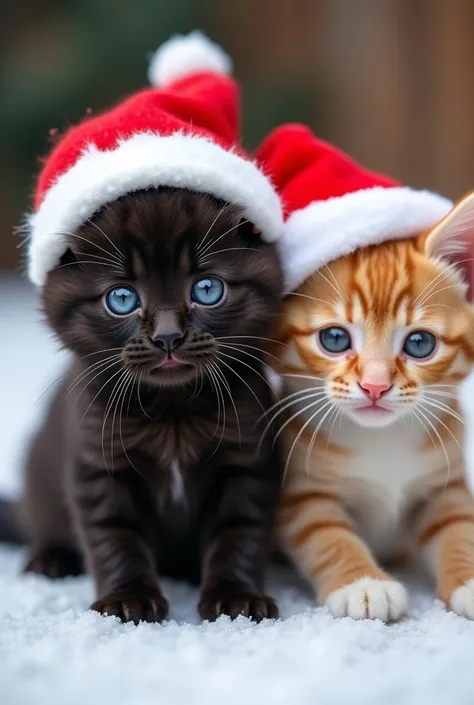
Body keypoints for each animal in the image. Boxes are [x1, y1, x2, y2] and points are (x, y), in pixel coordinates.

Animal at [7, 186, 284, 620]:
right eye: (122, 298)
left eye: (207, 290)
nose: (168, 337)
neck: (173, 411)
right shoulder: (100, 461)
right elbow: (114, 534)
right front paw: (127, 599)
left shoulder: (247, 458)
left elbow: (240, 530)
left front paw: (237, 598)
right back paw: (51, 559)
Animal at [270, 192, 474, 620]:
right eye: (334, 339)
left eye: (419, 344)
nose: (376, 385)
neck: (382, 439)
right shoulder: (300, 495)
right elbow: (327, 536)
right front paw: (362, 584)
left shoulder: (445, 485)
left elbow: (459, 528)